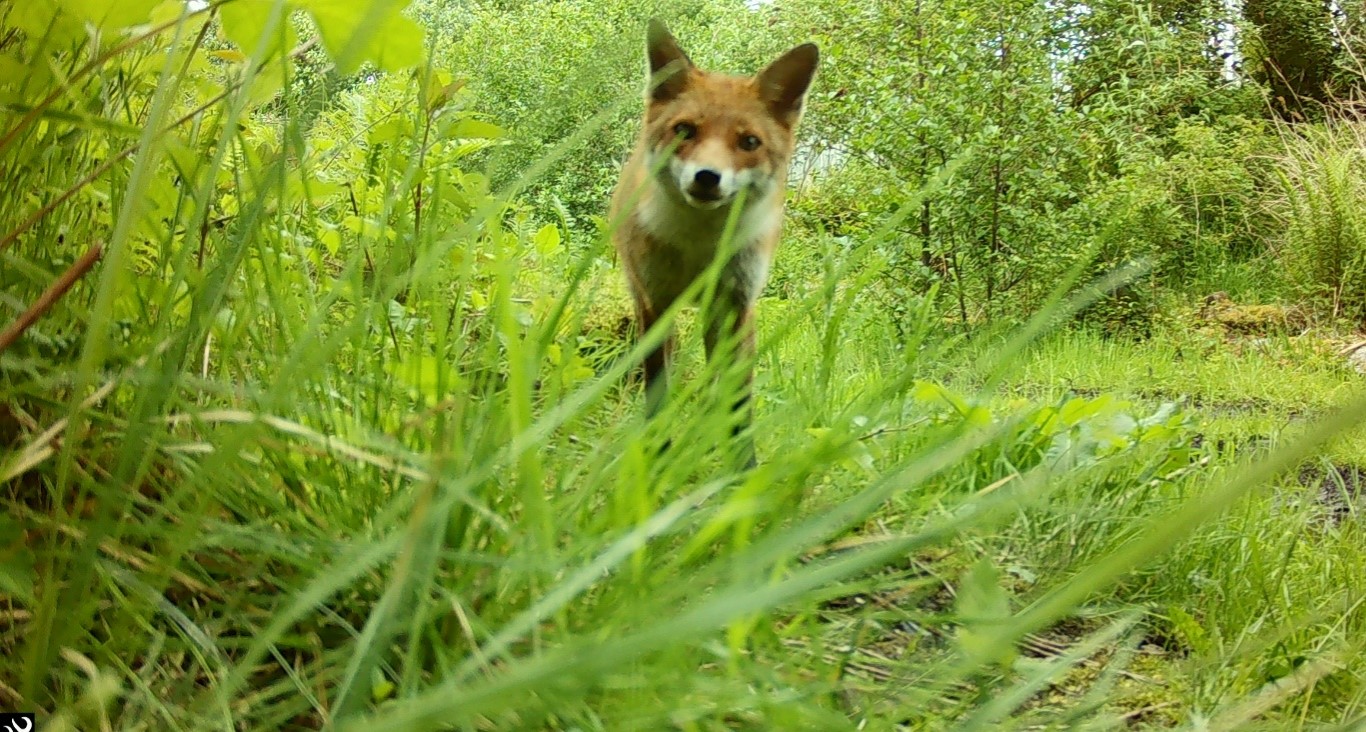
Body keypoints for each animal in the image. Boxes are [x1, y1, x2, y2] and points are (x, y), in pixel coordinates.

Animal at [611, 18, 819, 469]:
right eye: (685, 130)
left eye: (749, 143)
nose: (707, 177)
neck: (701, 247)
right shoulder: (657, 303)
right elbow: (658, 394)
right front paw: (657, 459)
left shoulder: (739, 305)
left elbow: (740, 404)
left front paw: (741, 472)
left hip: (716, 318)